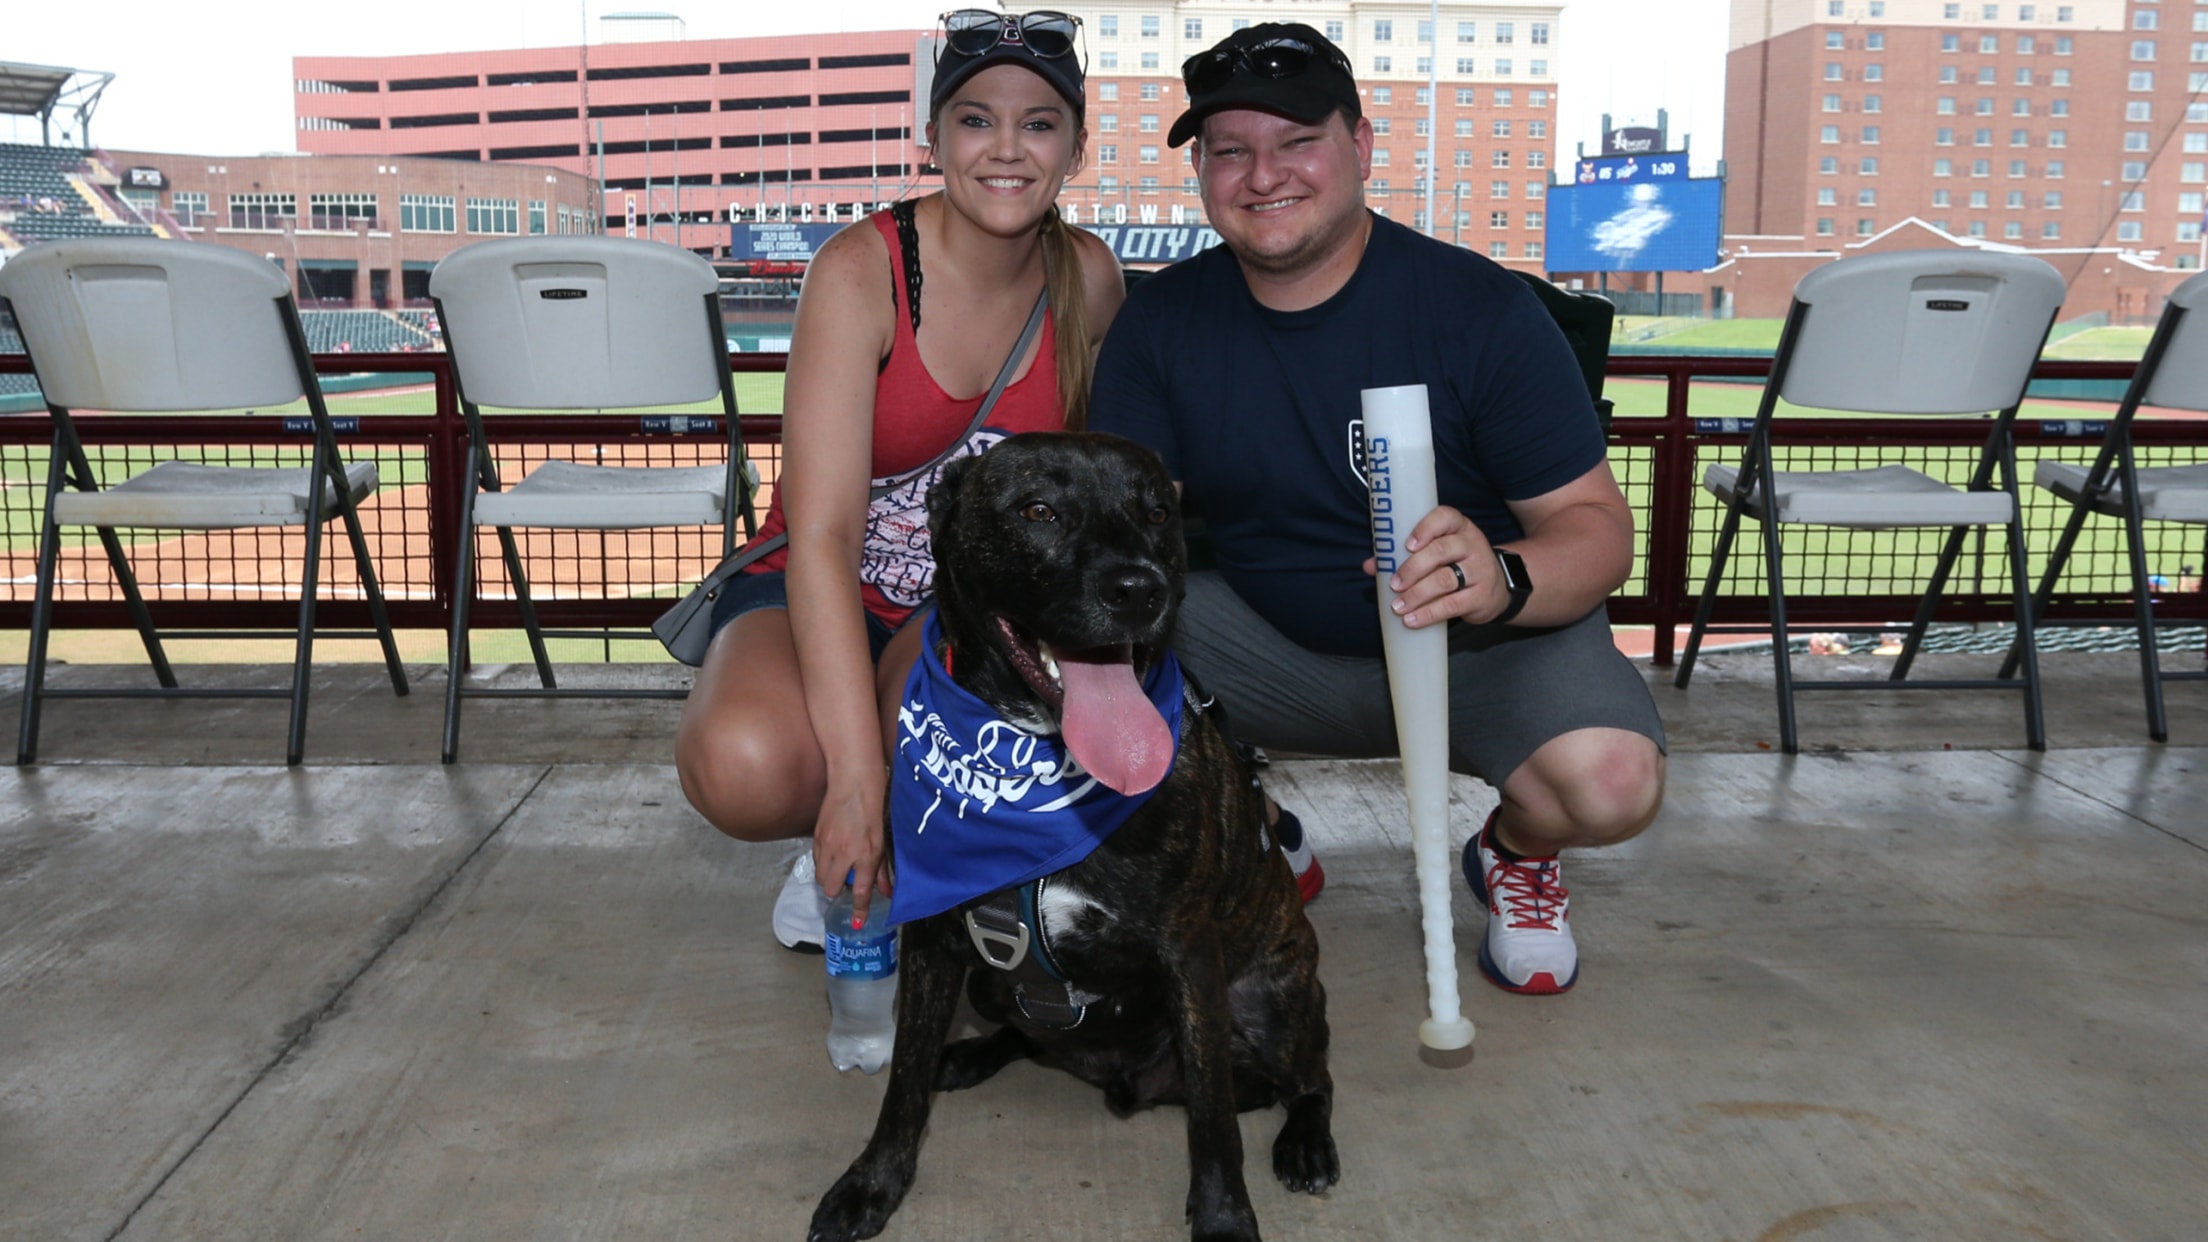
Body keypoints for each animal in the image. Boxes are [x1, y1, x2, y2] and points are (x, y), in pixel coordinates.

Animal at [808, 433, 1333, 1237]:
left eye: (1156, 512)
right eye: (1038, 511)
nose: (1139, 589)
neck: (1035, 759)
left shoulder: (1189, 956)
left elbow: (1214, 1120)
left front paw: (1222, 1216)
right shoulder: (932, 940)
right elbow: (902, 1079)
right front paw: (873, 1182)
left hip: (1272, 1002)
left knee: (1312, 1076)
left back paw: (1306, 1141)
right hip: (990, 986)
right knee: (1024, 1033)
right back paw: (967, 1056)